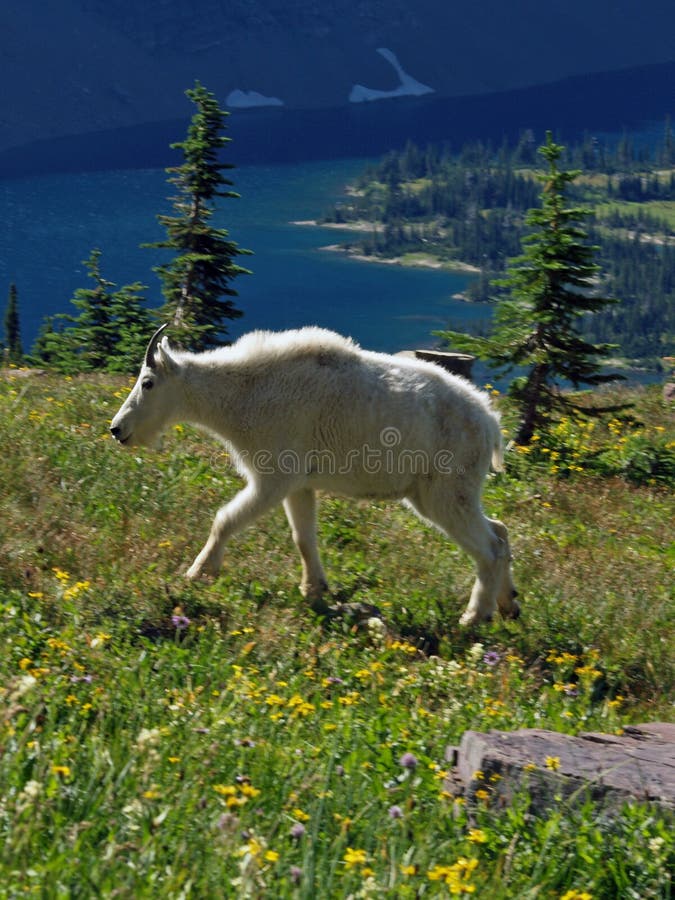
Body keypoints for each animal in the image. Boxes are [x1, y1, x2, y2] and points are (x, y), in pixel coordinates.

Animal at [111, 324, 516, 624]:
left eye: (147, 382)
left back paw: (473, 618)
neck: (244, 393)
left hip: (445, 491)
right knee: (499, 529)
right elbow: (303, 537)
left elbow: (224, 520)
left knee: (490, 548)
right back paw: (509, 604)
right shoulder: (298, 484)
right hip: (439, 493)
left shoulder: (273, 478)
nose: (117, 429)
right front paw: (314, 590)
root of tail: (491, 424)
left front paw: (197, 573)